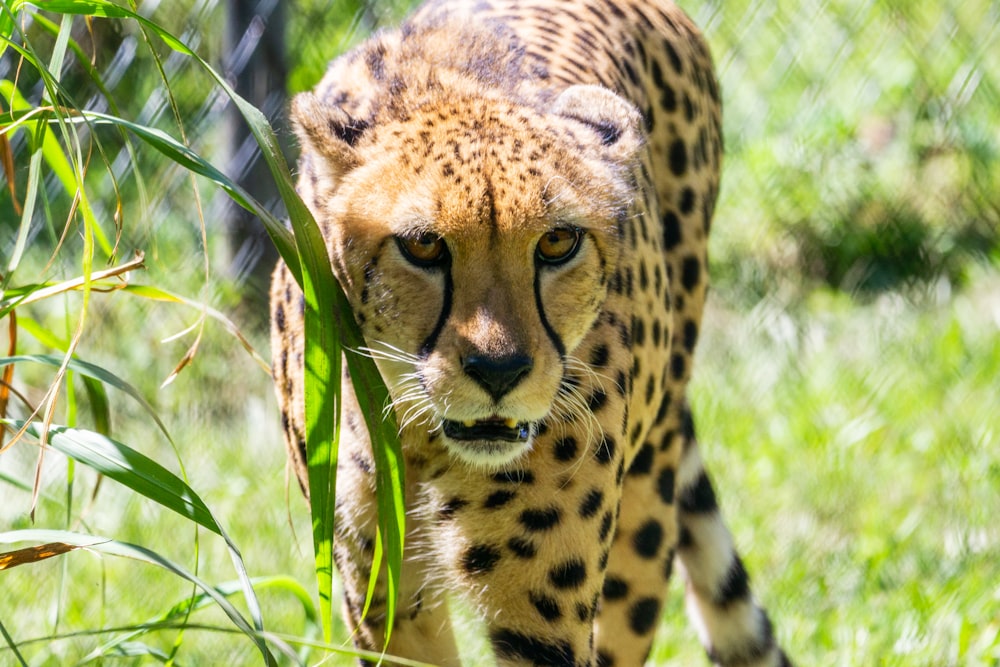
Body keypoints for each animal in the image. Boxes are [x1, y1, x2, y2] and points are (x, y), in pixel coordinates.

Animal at [270, 1, 792, 667]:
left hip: (647, 506)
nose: (499, 373)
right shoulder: (381, 593)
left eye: (557, 242)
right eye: (422, 245)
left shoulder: (541, 618)